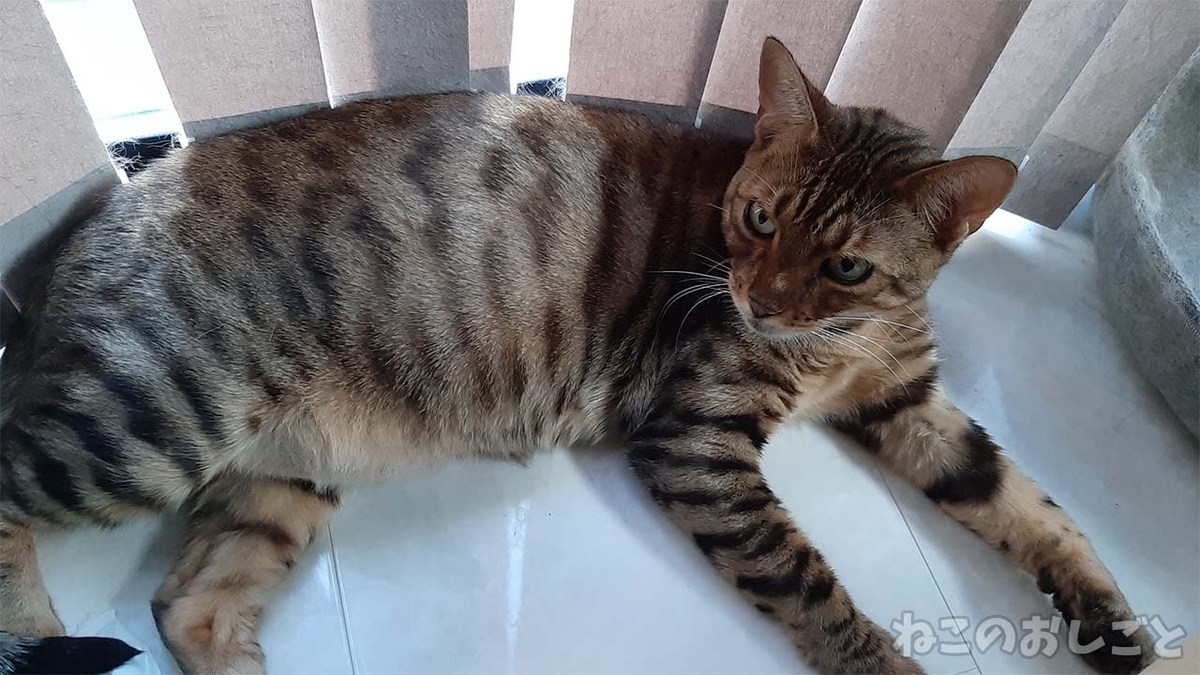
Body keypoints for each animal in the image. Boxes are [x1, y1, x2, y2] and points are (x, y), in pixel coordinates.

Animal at [0, 38, 1155, 675]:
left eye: (845, 267)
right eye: (757, 218)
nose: (756, 299)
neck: (843, 344)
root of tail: (83, 231)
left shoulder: (912, 405)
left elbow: (1037, 510)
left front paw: (1120, 630)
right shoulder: (695, 438)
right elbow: (811, 584)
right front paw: (885, 666)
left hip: (281, 477)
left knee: (187, 603)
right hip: (146, 421)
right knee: (9, 498)